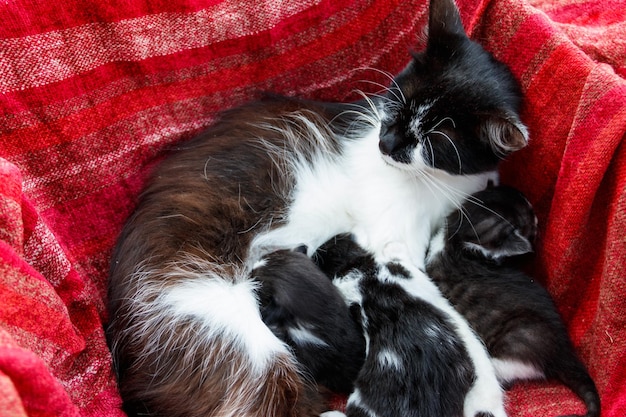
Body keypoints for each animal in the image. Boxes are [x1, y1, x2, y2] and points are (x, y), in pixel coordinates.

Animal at [106, 0, 528, 416]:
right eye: (395, 104)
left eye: (431, 142)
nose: (386, 143)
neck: (438, 182)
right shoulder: (387, 247)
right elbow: (445, 312)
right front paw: (485, 392)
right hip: (223, 329)